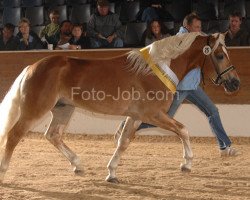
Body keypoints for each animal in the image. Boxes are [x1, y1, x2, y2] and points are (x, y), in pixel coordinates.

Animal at [0, 32, 239, 183]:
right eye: (219, 55)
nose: (235, 83)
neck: (157, 69)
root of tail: (32, 67)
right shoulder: (153, 114)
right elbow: (183, 129)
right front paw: (187, 164)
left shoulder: (136, 116)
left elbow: (123, 142)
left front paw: (112, 173)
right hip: (35, 110)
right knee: (14, 136)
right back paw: (4, 173)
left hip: (63, 109)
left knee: (53, 135)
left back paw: (78, 165)